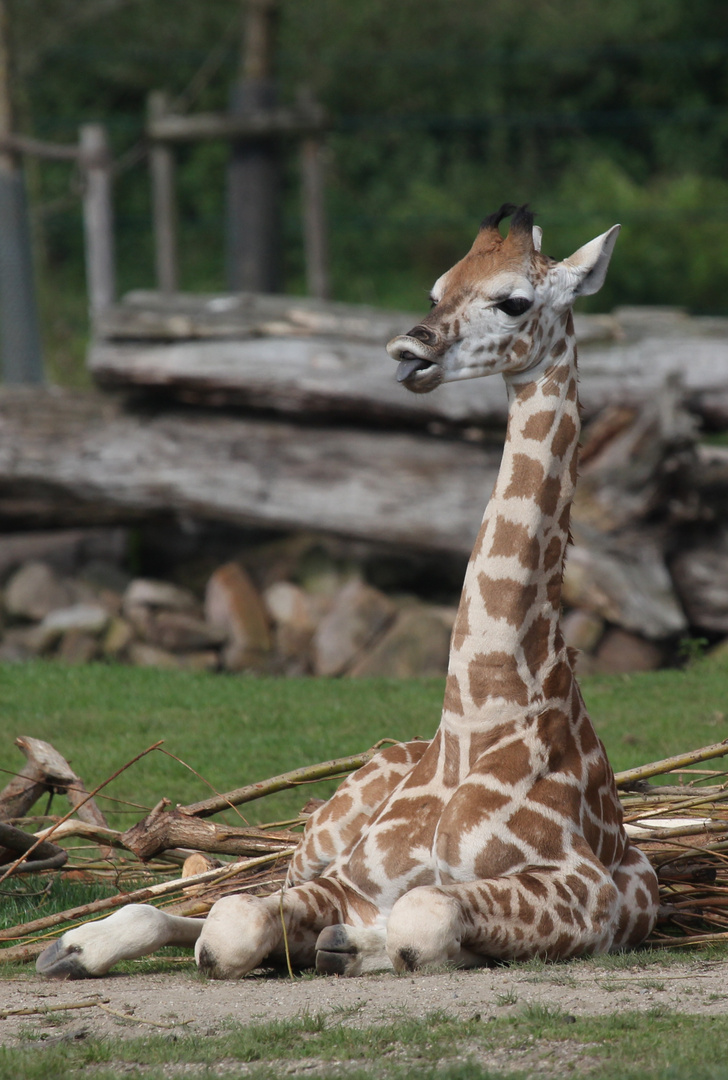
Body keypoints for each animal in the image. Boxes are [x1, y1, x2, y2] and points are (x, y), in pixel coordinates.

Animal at [35, 200, 656, 980]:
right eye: (436, 288)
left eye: (514, 300)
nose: (408, 350)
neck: (477, 717)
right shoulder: (352, 876)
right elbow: (233, 923)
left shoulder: (583, 890)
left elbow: (420, 917)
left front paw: (355, 946)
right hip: (321, 833)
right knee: (226, 894)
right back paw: (71, 945)